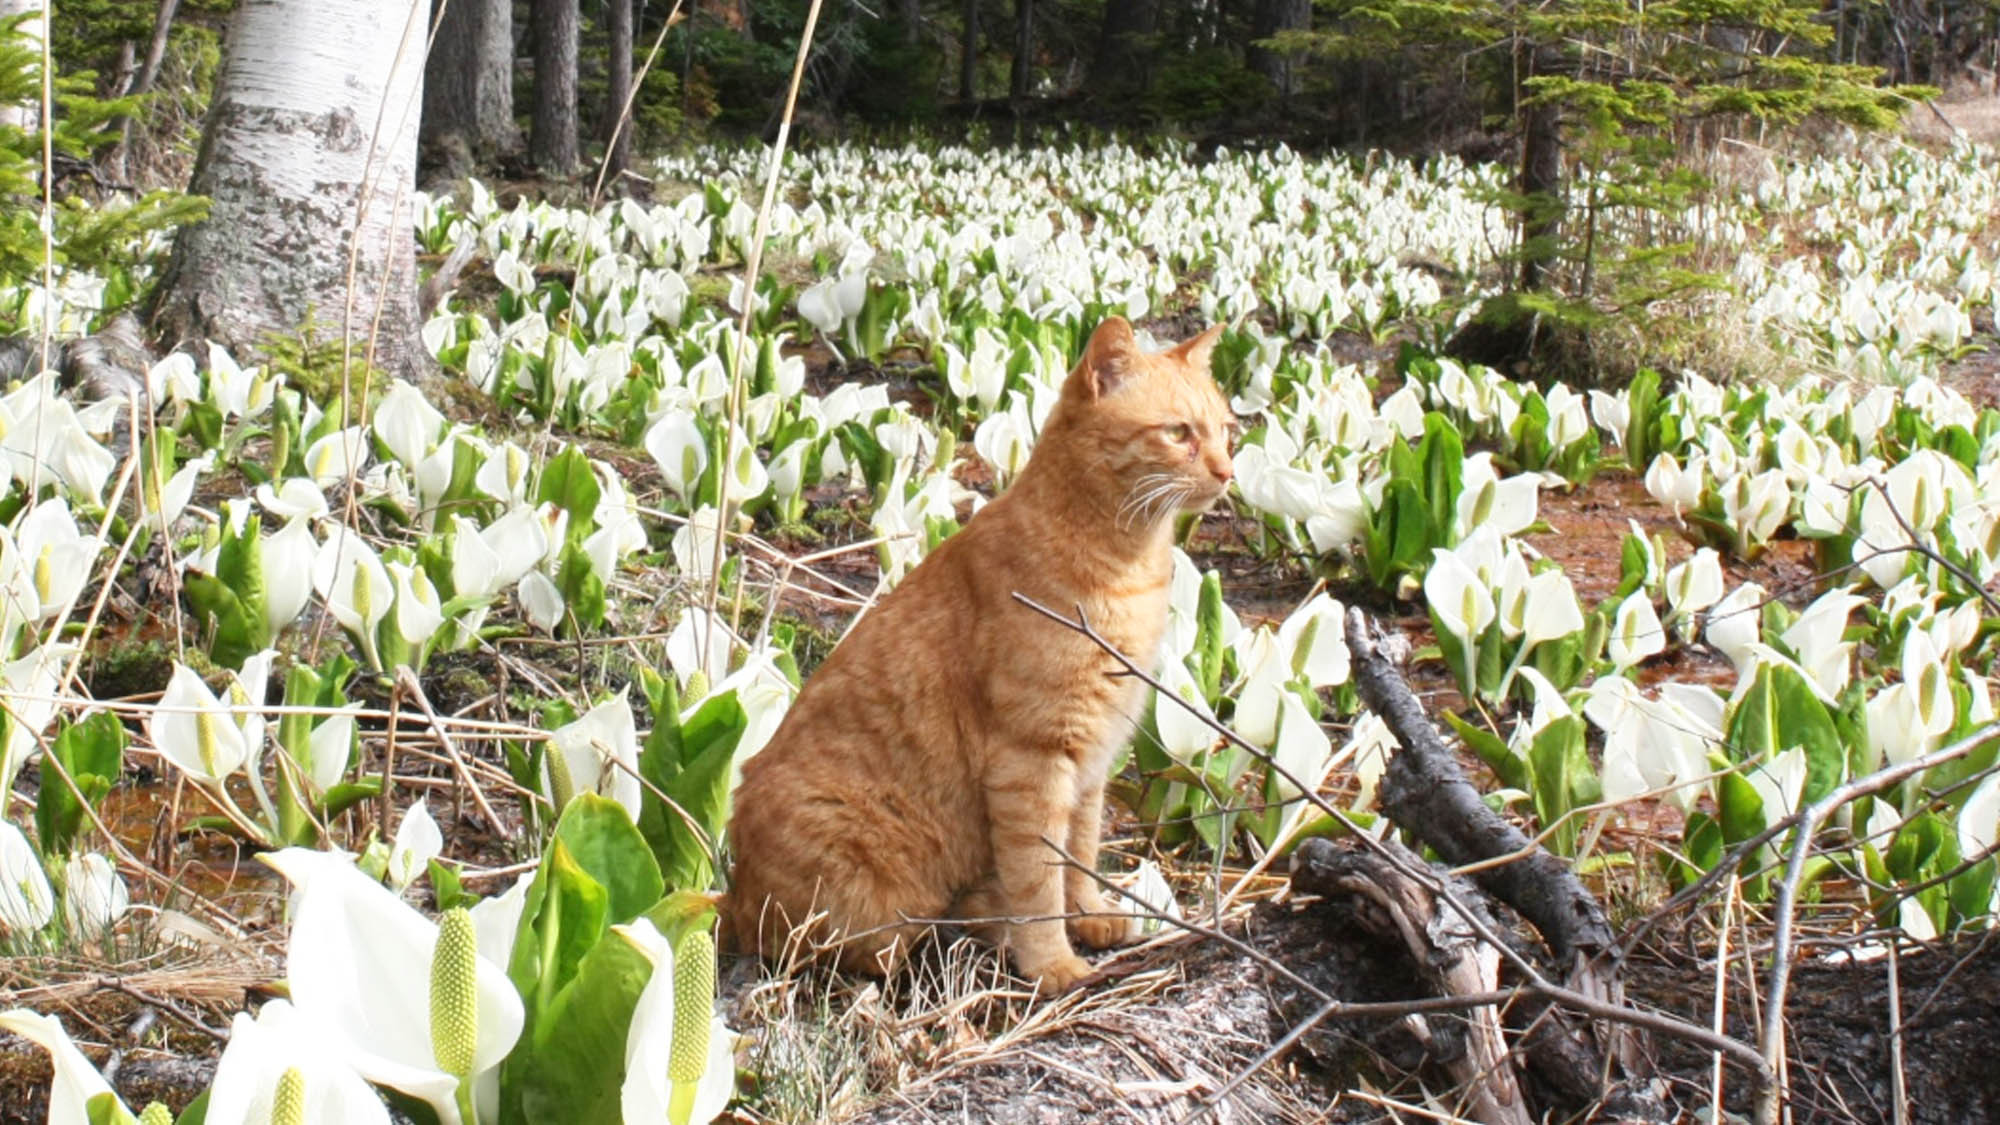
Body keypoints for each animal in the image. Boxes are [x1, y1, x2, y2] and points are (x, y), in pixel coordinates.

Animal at [736, 316, 1232, 988]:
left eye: (1226, 430)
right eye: (1179, 433)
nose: (1227, 472)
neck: (1130, 570)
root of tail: (733, 897)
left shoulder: (1093, 758)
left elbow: (1081, 850)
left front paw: (1089, 914)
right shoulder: (1032, 759)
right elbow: (1039, 879)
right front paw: (1053, 964)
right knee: (856, 951)